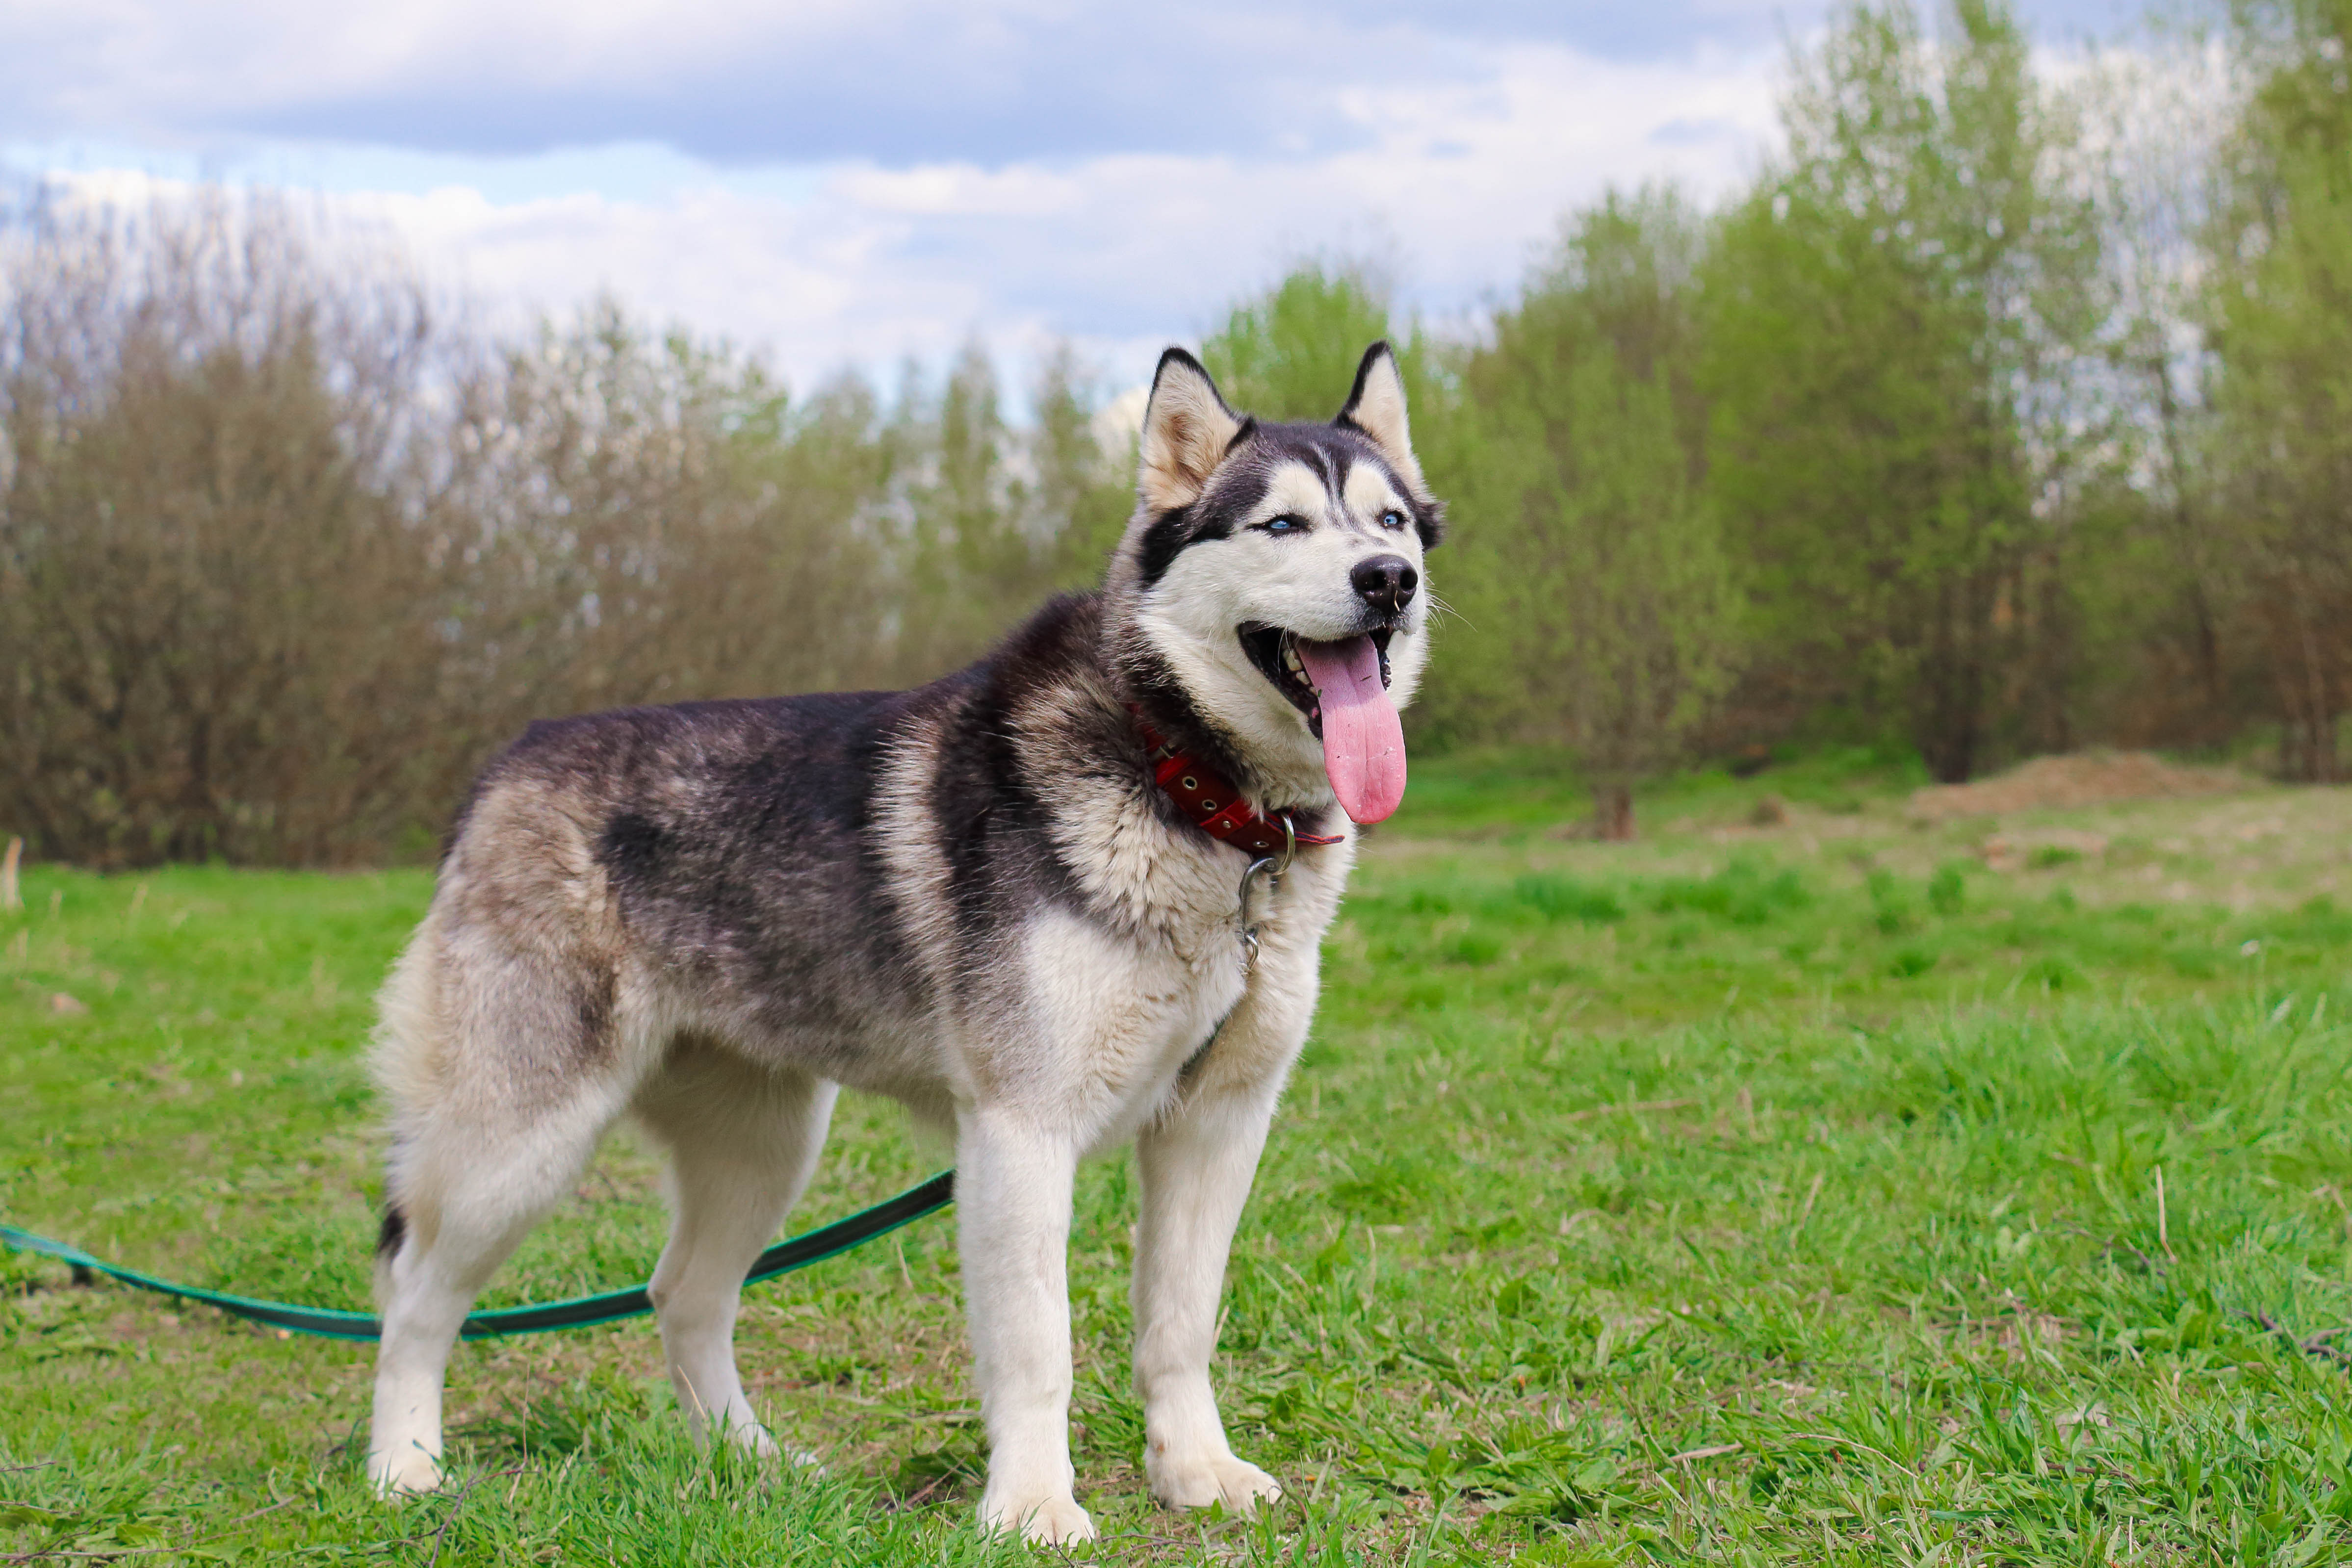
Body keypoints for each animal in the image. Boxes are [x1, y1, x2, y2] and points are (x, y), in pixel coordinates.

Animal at [364, 345, 1430, 1542]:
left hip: (765, 1146)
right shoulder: (1019, 1132)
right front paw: (1032, 1505)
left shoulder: (1218, 1125)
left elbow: (1180, 1323)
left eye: (1393, 519)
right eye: (1282, 524)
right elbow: (1038, 1345)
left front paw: (1196, 1470)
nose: (1390, 579)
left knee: (683, 1294)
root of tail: (505, 765)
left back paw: (748, 1462)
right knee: (413, 1293)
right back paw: (403, 1467)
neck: (1197, 794)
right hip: (519, 1144)